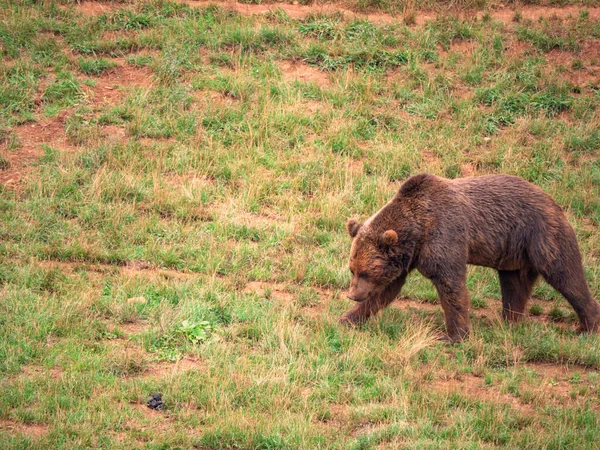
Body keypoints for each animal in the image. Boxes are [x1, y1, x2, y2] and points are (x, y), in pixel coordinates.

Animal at [342, 173, 600, 342]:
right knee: (514, 286)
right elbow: (386, 290)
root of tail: (555, 202)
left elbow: (451, 285)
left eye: (365, 271)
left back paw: (588, 325)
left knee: (566, 275)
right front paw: (349, 318)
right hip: (514, 254)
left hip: (541, 234)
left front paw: (455, 336)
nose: (352, 294)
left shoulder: (445, 236)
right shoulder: (406, 258)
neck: (418, 230)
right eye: (352, 269)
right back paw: (508, 322)